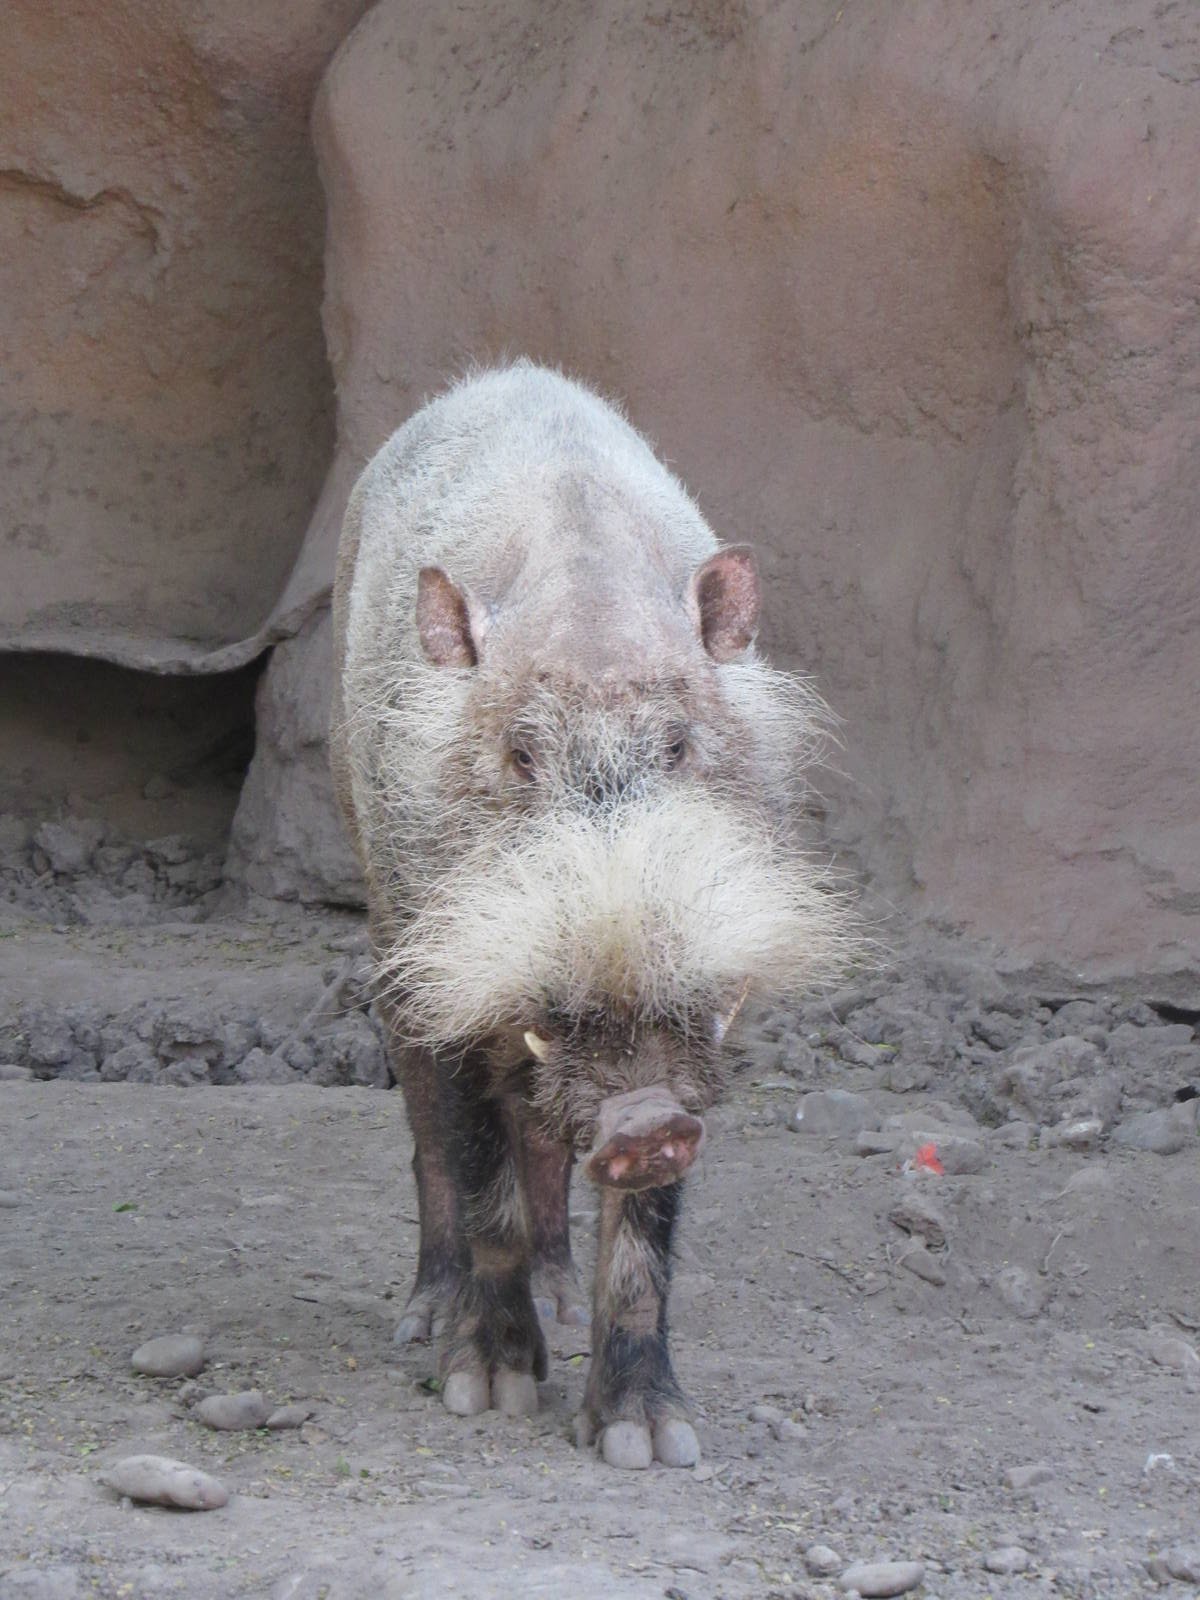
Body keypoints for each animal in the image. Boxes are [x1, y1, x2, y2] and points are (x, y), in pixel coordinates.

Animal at [330, 361, 853, 1469]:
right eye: (522, 756)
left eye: (679, 746)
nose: (641, 1116)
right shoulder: (453, 965)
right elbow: (475, 1169)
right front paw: (489, 1393)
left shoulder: (696, 1020)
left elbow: (642, 1240)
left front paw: (650, 1444)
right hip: (385, 917)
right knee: (428, 1129)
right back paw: (424, 1321)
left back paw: (562, 1300)